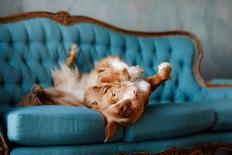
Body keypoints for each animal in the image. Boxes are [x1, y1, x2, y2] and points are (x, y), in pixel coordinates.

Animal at [19, 44, 172, 142]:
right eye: (123, 108)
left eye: (114, 95)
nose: (135, 93)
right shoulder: (102, 73)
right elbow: (123, 73)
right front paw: (134, 71)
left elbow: (157, 77)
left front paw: (156, 69)